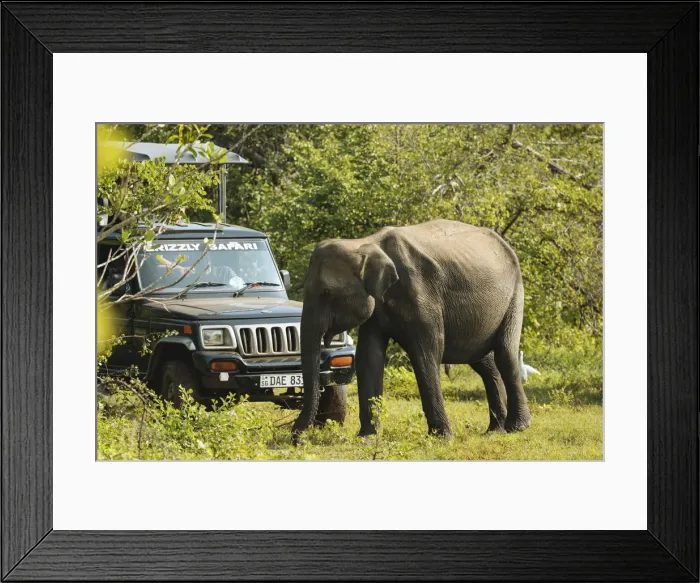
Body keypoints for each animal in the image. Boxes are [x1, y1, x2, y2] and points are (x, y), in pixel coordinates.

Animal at [292, 219, 532, 440]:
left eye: (326, 292)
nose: (297, 438)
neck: (366, 243)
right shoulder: (376, 307)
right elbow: (369, 357)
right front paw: (366, 439)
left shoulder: (422, 295)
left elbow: (425, 355)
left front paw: (442, 438)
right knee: (482, 360)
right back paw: (495, 430)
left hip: (514, 293)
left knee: (505, 353)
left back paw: (517, 427)